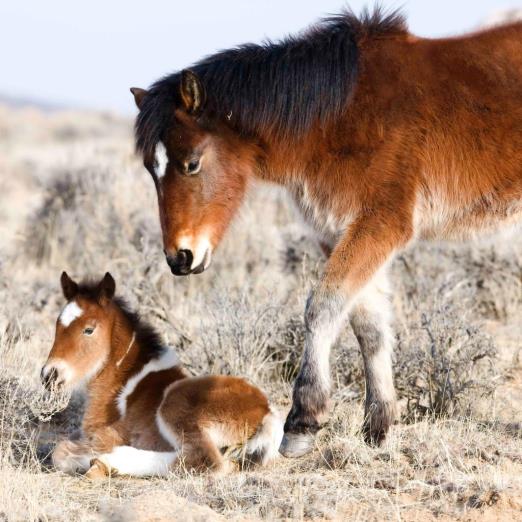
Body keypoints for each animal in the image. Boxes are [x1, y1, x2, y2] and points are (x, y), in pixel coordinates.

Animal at [42, 270, 282, 478]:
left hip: (176, 403)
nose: (50, 375)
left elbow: (61, 451)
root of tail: (266, 411)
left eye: (89, 330)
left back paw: (108, 462)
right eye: (57, 326)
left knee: (205, 460)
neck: (123, 382)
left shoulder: (112, 434)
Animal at [129, 8, 520, 456]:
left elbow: (322, 306)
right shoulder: (340, 231)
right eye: (150, 168)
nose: (181, 257)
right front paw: (377, 427)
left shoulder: (380, 225)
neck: (341, 116)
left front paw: (302, 421)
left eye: (192, 163)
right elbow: (368, 326)